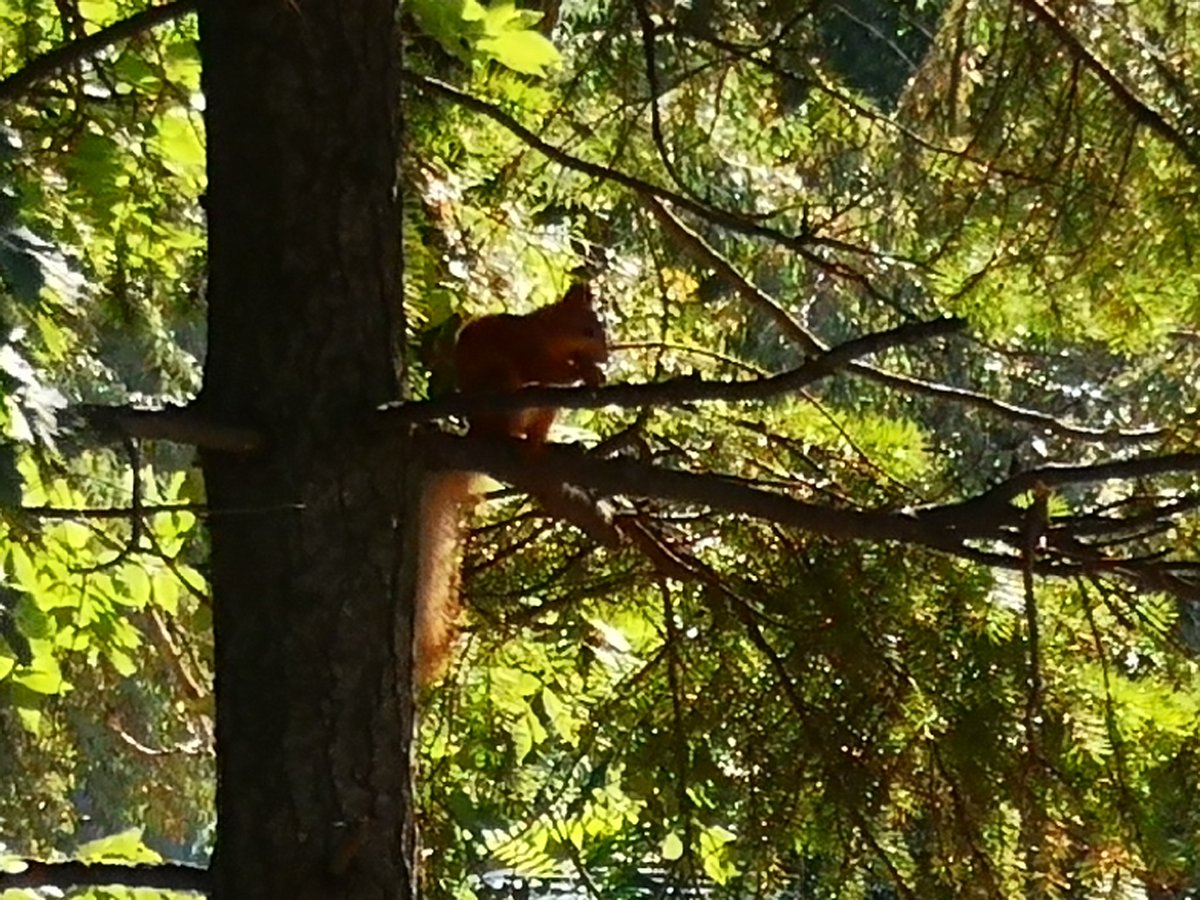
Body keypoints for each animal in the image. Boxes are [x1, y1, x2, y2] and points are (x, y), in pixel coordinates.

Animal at [413, 283, 609, 685]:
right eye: (588, 329)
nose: (607, 355)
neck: (550, 333)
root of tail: (477, 431)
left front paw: (594, 373)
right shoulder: (528, 350)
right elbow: (544, 370)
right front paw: (587, 371)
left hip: (543, 410)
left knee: (536, 428)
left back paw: (541, 446)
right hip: (500, 379)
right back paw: (510, 437)